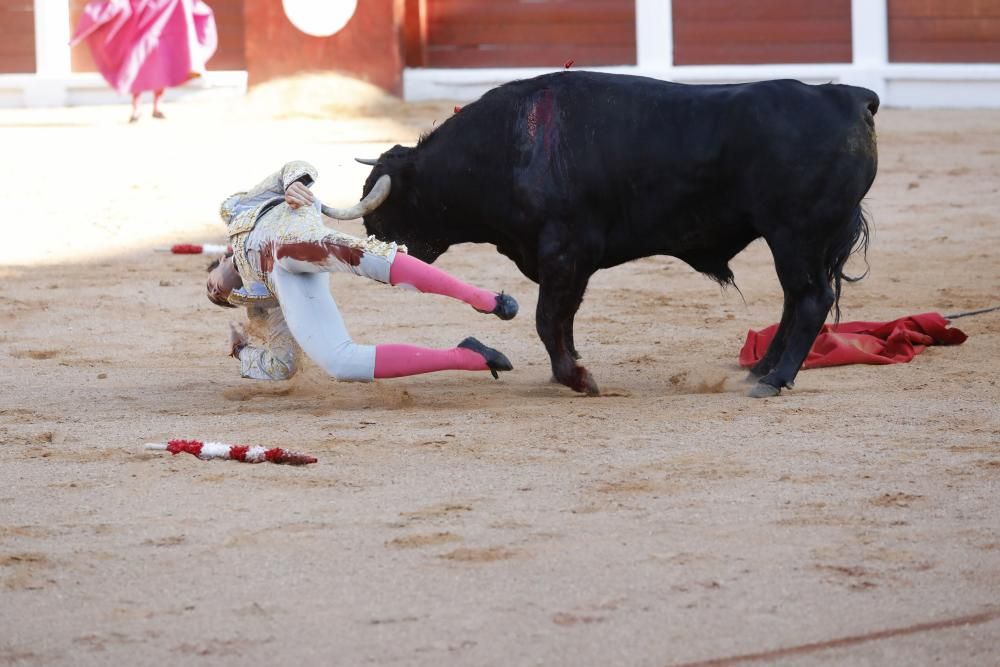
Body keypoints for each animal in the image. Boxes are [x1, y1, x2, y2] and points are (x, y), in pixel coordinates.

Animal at [360, 73, 876, 396]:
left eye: (393, 204)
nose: (369, 232)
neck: (510, 148)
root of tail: (851, 98)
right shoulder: (566, 263)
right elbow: (563, 320)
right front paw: (567, 371)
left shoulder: (566, 252)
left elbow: (548, 319)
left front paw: (577, 378)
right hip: (796, 240)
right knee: (795, 298)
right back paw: (762, 369)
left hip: (796, 234)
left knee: (810, 299)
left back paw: (774, 380)